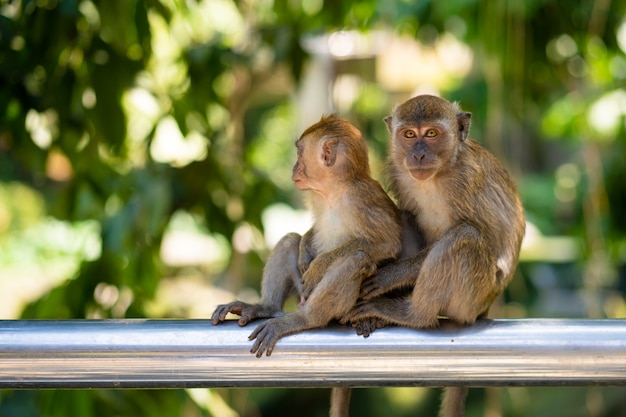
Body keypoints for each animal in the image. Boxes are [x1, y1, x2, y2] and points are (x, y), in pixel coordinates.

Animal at [212, 114, 402, 416]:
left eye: (299, 153)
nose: (293, 167)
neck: (334, 192)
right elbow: (307, 236)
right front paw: (305, 249)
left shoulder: (362, 198)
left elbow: (388, 242)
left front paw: (319, 265)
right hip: (301, 292)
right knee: (289, 240)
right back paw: (265, 307)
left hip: (336, 306)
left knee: (357, 259)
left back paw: (305, 318)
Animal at [344, 95, 524, 416]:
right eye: (409, 135)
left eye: (431, 134)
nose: (417, 155)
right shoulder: (398, 173)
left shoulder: (467, 181)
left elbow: (488, 239)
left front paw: (390, 277)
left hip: (473, 297)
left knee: (466, 236)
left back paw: (410, 314)